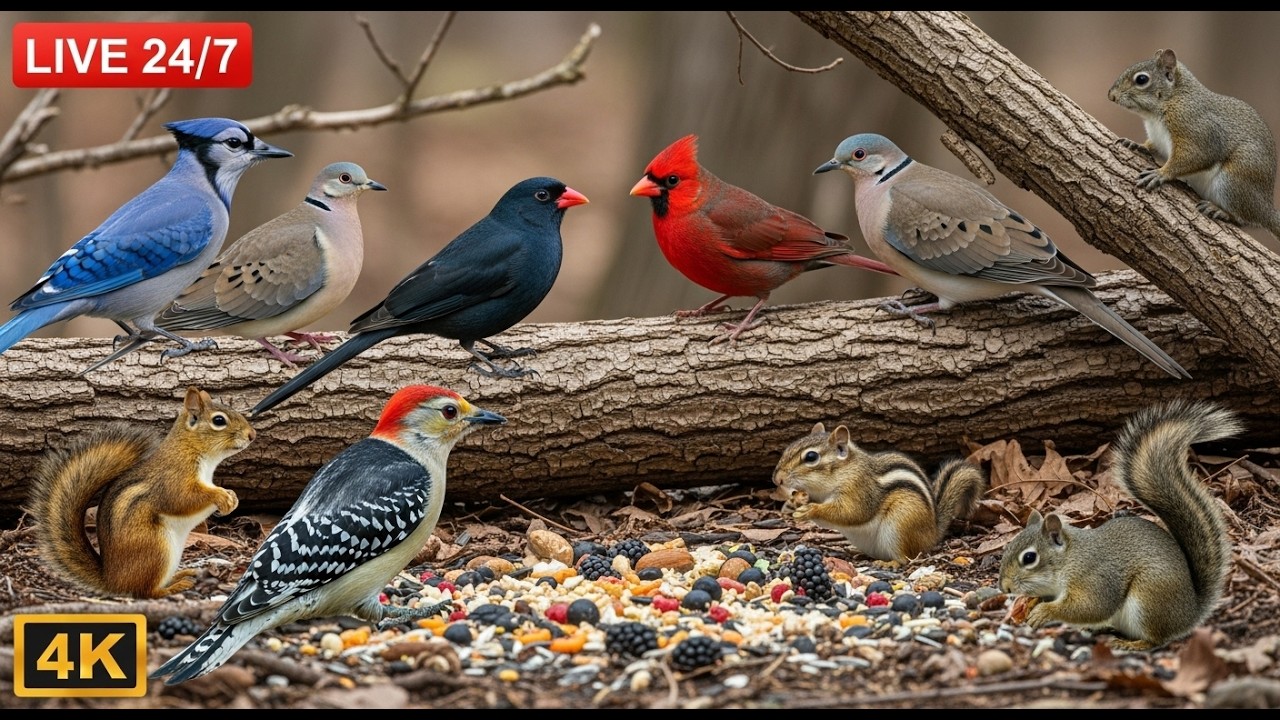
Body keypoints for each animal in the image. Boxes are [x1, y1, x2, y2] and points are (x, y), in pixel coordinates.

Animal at [25, 386, 256, 599]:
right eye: (219, 420)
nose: (252, 435)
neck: (193, 450)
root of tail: (112, 580)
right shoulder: (173, 479)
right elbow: (182, 499)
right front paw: (221, 496)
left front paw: (232, 497)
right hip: (156, 550)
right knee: (146, 591)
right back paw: (174, 587)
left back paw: (183, 575)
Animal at [772, 422, 987, 563]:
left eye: (811, 457)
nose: (776, 479)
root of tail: (933, 533)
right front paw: (795, 503)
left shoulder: (859, 490)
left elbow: (851, 513)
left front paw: (810, 510)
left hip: (901, 523)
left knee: (906, 559)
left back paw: (889, 563)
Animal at [998, 399, 1239, 651]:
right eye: (1007, 548)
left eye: (1029, 558)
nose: (1004, 588)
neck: (1070, 559)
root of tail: (1190, 612)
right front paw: (1029, 602)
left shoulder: (1096, 578)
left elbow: (1090, 607)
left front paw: (1044, 611)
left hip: (1149, 599)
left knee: (1156, 639)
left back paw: (1132, 644)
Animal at [1108, 48, 1280, 241]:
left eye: (1142, 79)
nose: (1111, 95)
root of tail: (1266, 208)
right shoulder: (1158, 138)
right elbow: (1153, 146)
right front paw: (1136, 144)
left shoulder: (1194, 127)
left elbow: (1196, 155)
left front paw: (1161, 173)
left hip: (1234, 180)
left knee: (1243, 218)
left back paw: (1220, 211)